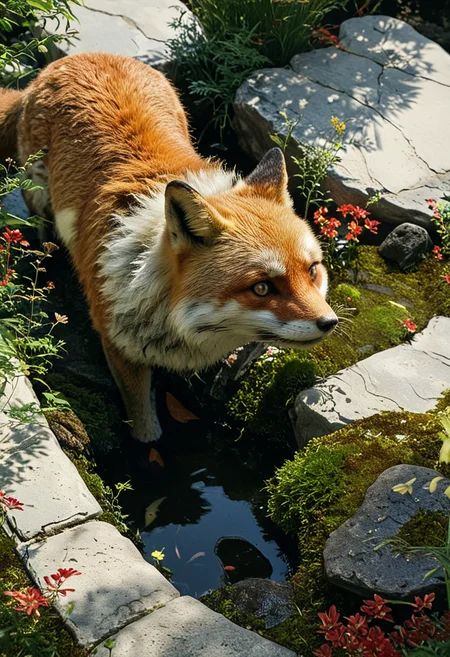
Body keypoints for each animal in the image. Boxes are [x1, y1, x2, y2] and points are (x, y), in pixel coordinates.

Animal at [0, 52, 338, 444]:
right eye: (262, 288)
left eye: (312, 271)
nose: (329, 323)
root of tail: (76, 58)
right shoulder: (119, 346)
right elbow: (144, 425)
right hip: (38, 194)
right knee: (41, 224)